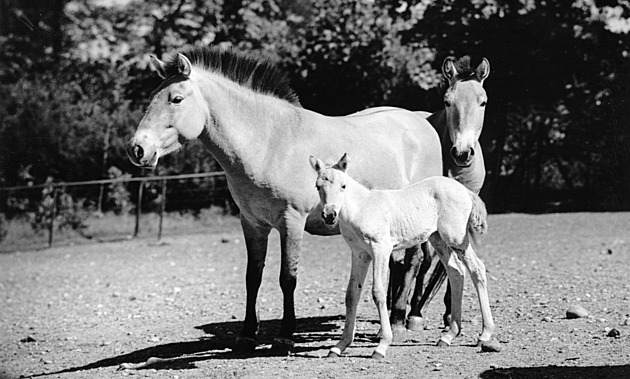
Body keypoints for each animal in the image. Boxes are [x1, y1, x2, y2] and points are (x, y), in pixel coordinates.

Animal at [126, 46, 442, 354]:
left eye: (176, 99)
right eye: (152, 98)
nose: (137, 149)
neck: (269, 142)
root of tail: (421, 123)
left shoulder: (292, 222)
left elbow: (287, 278)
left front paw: (285, 335)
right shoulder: (252, 223)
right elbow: (252, 277)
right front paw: (247, 334)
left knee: (415, 261)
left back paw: (401, 320)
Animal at [312, 154, 498, 360]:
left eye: (343, 185)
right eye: (317, 186)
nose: (330, 215)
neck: (362, 208)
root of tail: (465, 191)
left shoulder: (381, 249)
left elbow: (378, 292)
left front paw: (382, 345)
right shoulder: (360, 255)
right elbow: (352, 294)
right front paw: (339, 346)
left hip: (456, 238)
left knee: (476, 268)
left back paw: (484, 334)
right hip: (438, 239)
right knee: (456, 272)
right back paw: (448, 336)